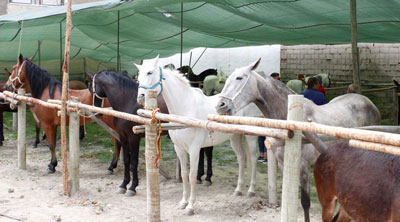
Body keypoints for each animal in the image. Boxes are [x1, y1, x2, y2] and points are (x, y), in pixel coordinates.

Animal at [136, 56, 264, 216]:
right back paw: (238, 190)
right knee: (242, 158)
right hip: (234, 137)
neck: (184, 109)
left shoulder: (194, 149)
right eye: (138, 76)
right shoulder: (179, 148)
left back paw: (251, 190)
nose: (140, 97)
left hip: (250, 136)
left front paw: (190, 206)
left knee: (253, 158)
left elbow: (192, 175)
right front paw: (183, 203)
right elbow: (184, 174)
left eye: (150, 72)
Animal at [216, 59, 382, 222]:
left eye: (239, 78)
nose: (220, 105)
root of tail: (369, 103)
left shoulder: (303, 167)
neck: (292, 120)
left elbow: (305, 202)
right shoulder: (283, 165)